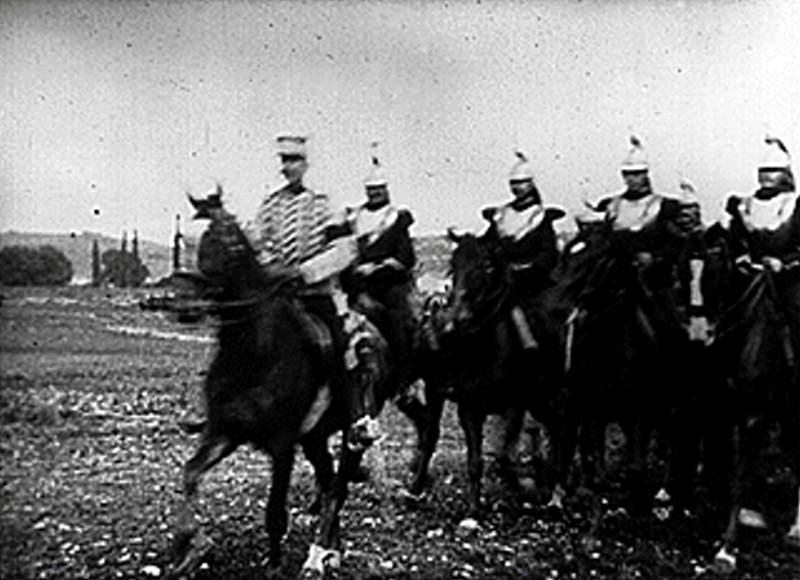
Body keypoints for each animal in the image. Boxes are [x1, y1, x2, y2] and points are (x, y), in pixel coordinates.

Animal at [171, 191, 398, 579]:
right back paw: (331, 551)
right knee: (327, 480)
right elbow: (190, 473)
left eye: (224, 240)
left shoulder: (282, 446)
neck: (253, 354)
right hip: (315, 439)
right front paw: (188, 545)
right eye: (182, 237)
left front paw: (275, 565)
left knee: (337, 488)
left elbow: (275, 514)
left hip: (351, 436)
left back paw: (318, 555)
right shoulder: (223, 432)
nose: (187, 304)